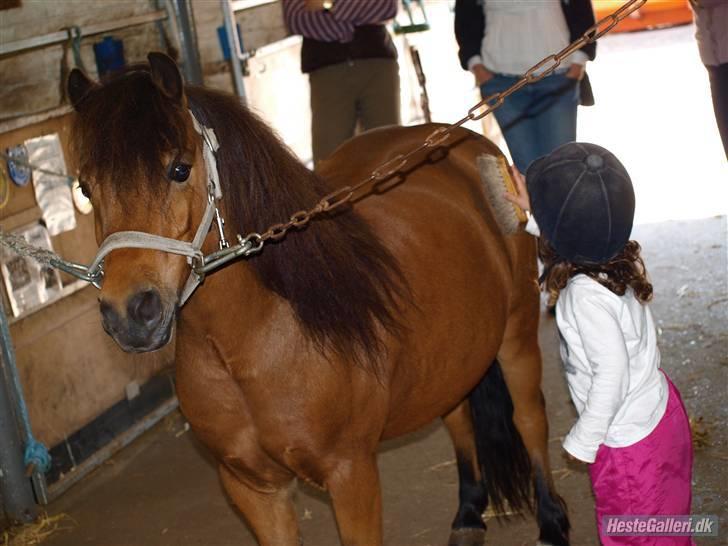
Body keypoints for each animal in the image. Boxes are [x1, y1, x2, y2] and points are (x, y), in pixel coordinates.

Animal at [68, 52, 568, 544]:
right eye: (85, 189)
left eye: (179, 169)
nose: (130, 313)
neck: (253, 341)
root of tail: (461, 140)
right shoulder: (253, 487)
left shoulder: (351, 475)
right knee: (458, 415)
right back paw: (468, 514)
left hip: (517, 333)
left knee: (530, 417)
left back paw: (552, 521)